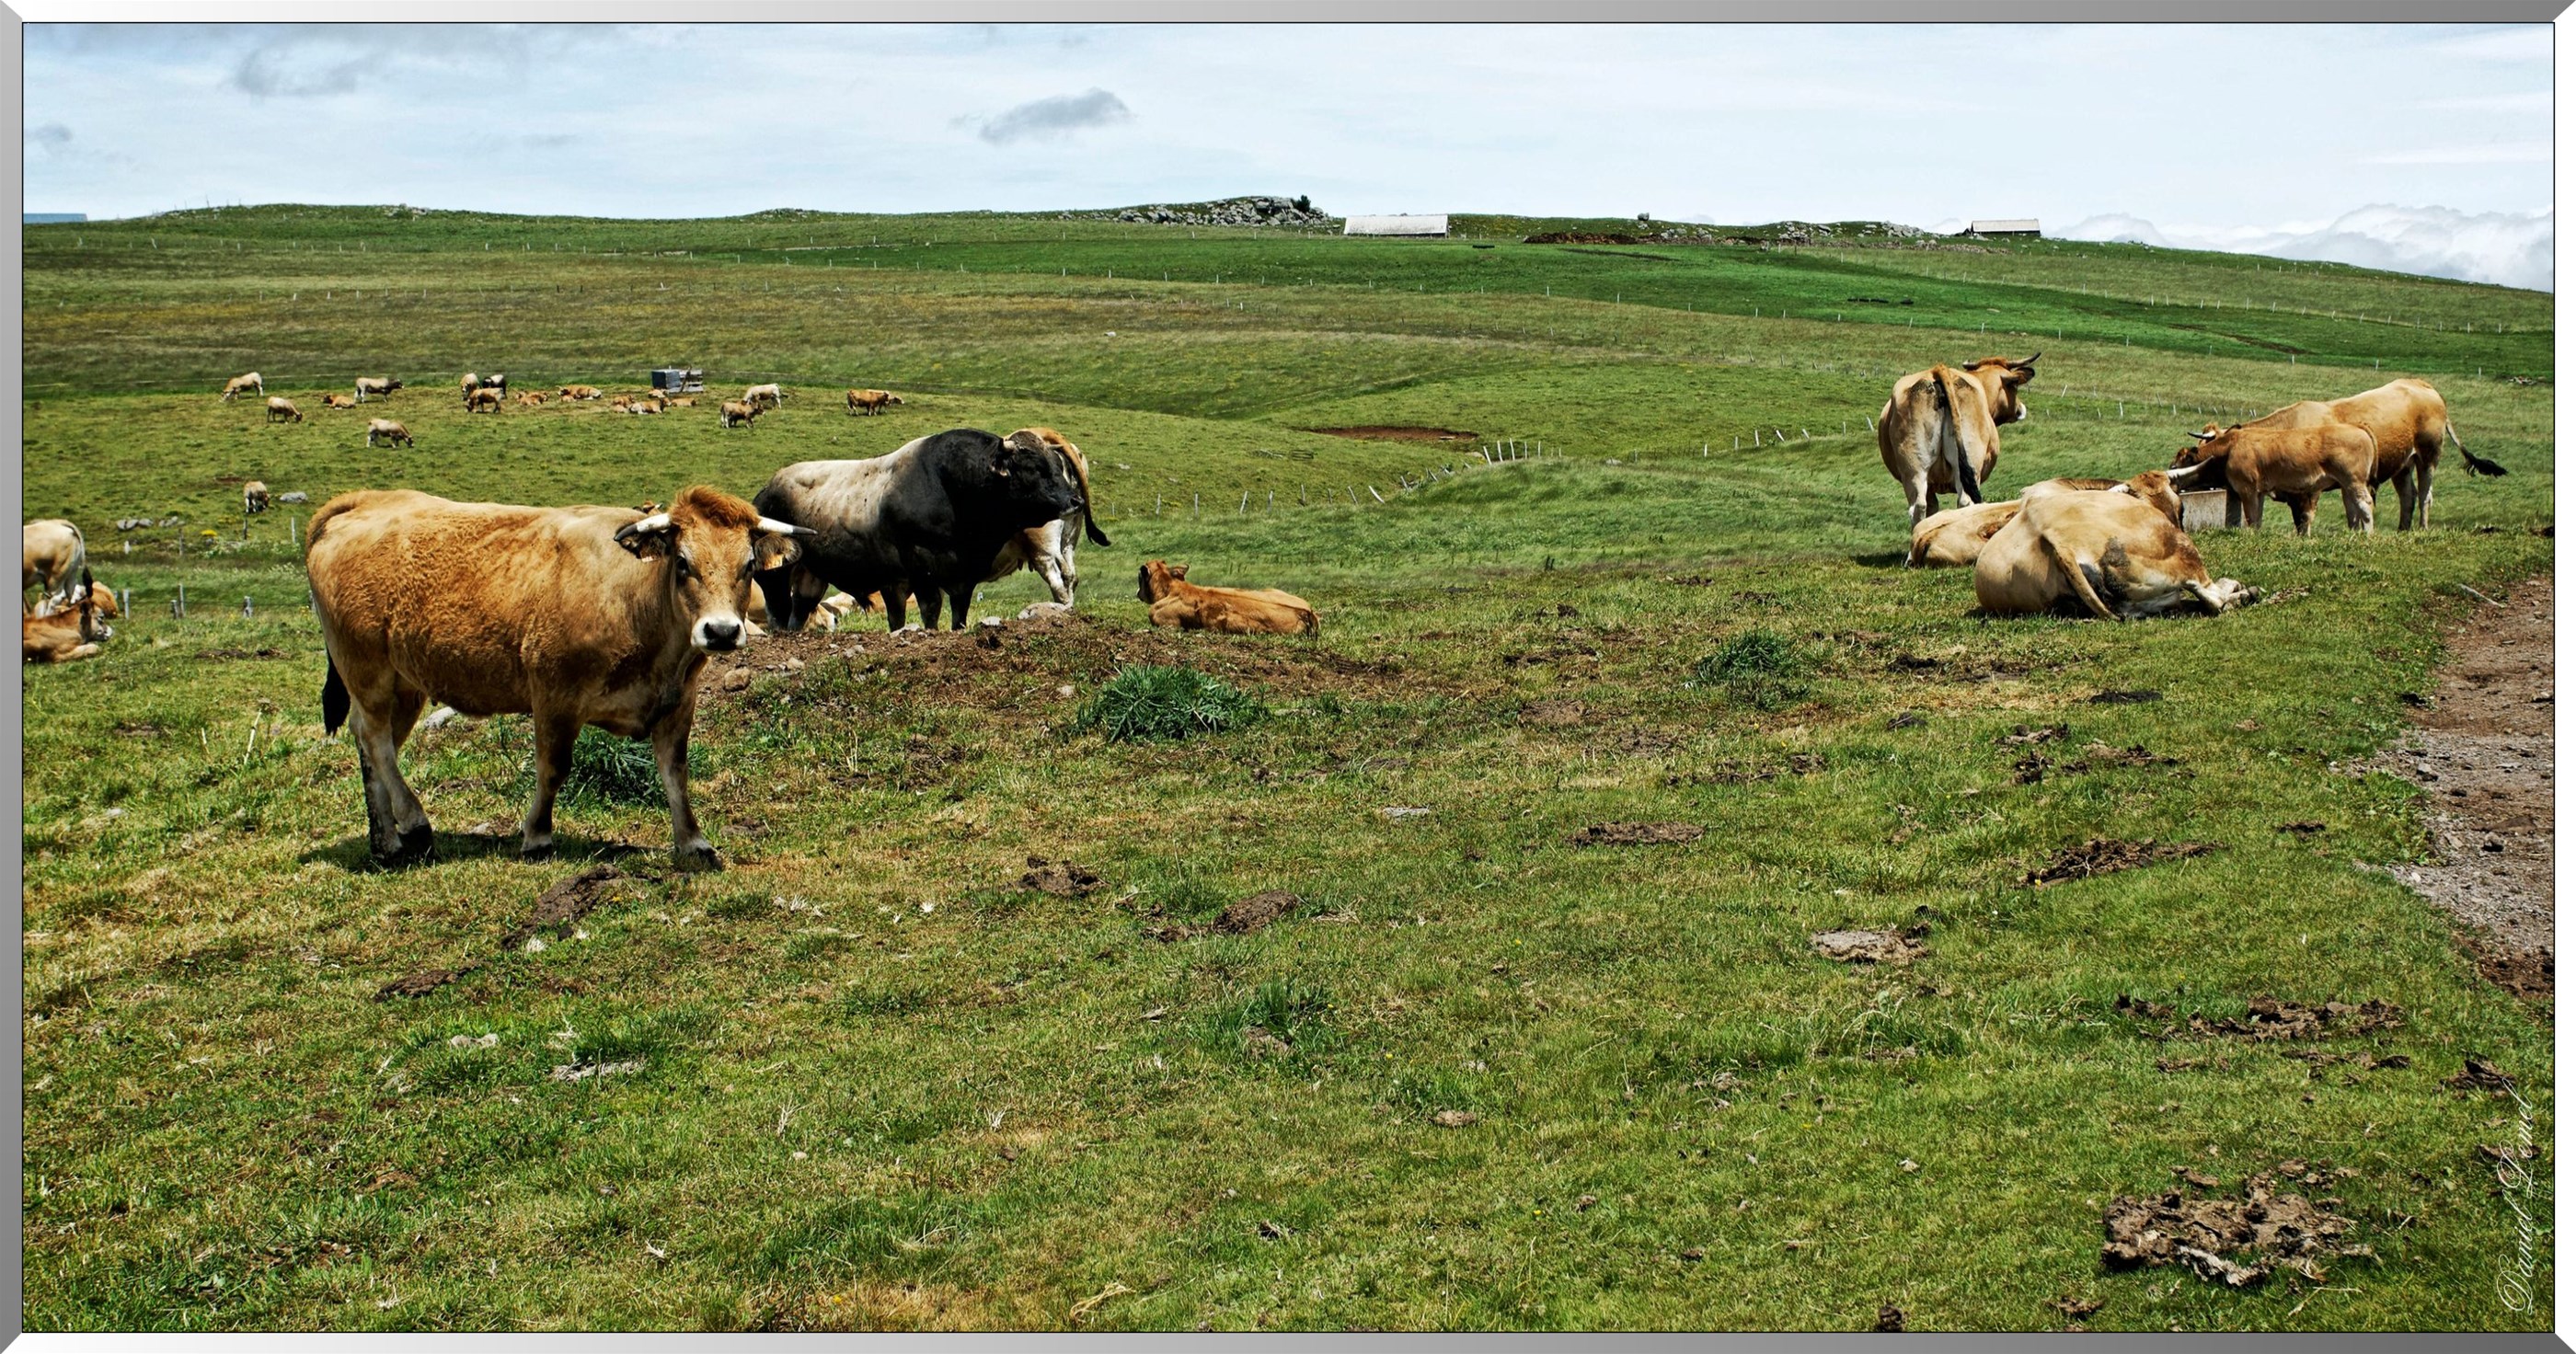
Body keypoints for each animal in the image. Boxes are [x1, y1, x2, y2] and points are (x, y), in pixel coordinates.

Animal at [304, 485, 811, 869]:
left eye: (749, 565)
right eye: (683, 562)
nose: (722, 631)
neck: (633, 600)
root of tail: (364, 501)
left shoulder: (677, 702)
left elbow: (675, 772)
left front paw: (692, 840)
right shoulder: (553, 695)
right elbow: (553, 769)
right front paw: (538, 836)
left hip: (404, 682)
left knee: (373, 744)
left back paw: (386, 841)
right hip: (366, 668)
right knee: (376, 739)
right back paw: (413, 823)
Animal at [751, 427, 1089, 632]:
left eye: (1056, 466)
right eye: (1034, 468)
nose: (1075, 500)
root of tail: (766, 491)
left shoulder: (960, 578)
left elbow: (957, 611)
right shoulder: (921, 569)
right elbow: (931, 608)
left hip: (811, 574)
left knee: (800, 608)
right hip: (776, 574)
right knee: (778, 608)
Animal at [1877, 353, 2040, 525]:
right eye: (2014, 387)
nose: (2021, 408)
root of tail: (1937, 370)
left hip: (1916, 469)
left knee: (1919, 507)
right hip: (1971, 467)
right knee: (1965, 503)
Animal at [2168, 423, 2377, 536]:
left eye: (2176, 464)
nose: (2168, 471)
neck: (2230, 447)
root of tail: (2357, 427)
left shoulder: (2247, 490)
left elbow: (2251, 518)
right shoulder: (2259, 492)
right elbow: (2257, 518)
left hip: (2353, 481)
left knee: (2365, 505)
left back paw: (2368, 535)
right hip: (2346, 486)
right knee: (2353, 508)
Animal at [2201, 378, 2503, 530]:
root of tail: (2423, 385)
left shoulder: (2310, 490)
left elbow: (2306, 520)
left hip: (2429, 456)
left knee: (2426, 496)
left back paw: (2421, 529)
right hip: (2402, 464)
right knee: (2409, 496)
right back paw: (2402, 530)